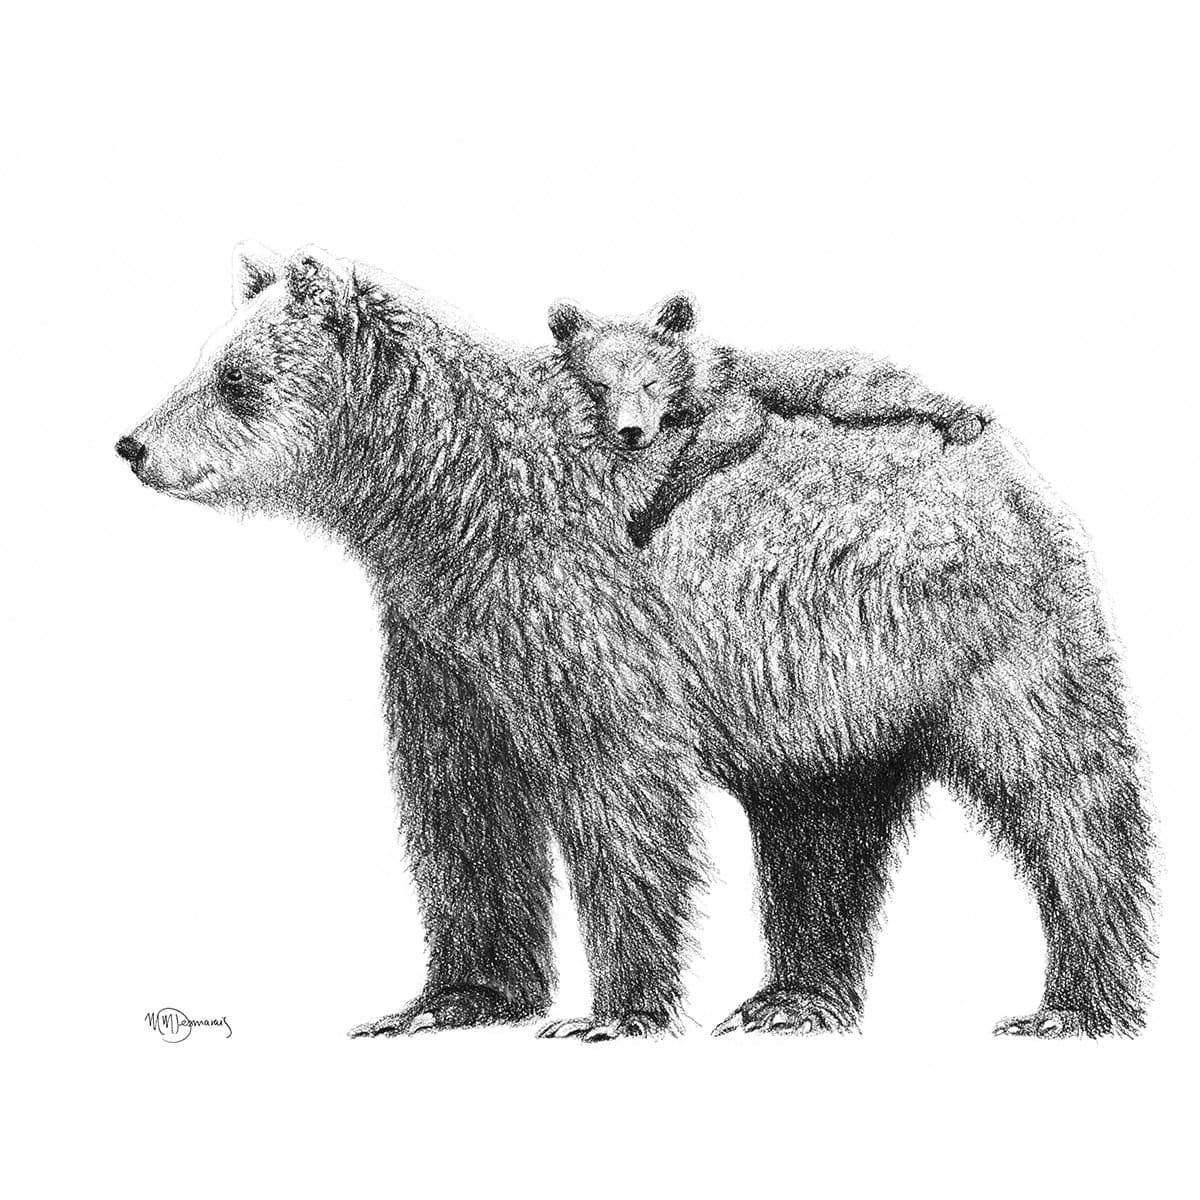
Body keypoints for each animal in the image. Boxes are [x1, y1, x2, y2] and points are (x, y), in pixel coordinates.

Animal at [548, 293, 988, 547]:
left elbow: (723, 436)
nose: (631, 432)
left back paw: (964, 420)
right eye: (600, 384)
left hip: (841, 388)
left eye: (650, 383)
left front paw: (646, 516)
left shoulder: (732, 392)